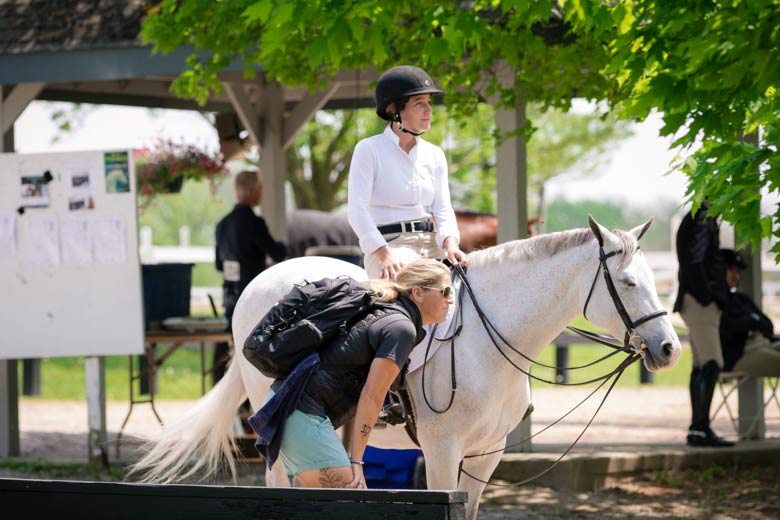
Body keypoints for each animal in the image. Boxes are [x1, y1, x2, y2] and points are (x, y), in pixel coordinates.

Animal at [130, 216, 681, 520]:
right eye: (628, 283)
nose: (670, 349)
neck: (491, 337)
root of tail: (260, 281)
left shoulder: (487, 453)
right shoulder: (442, 450)